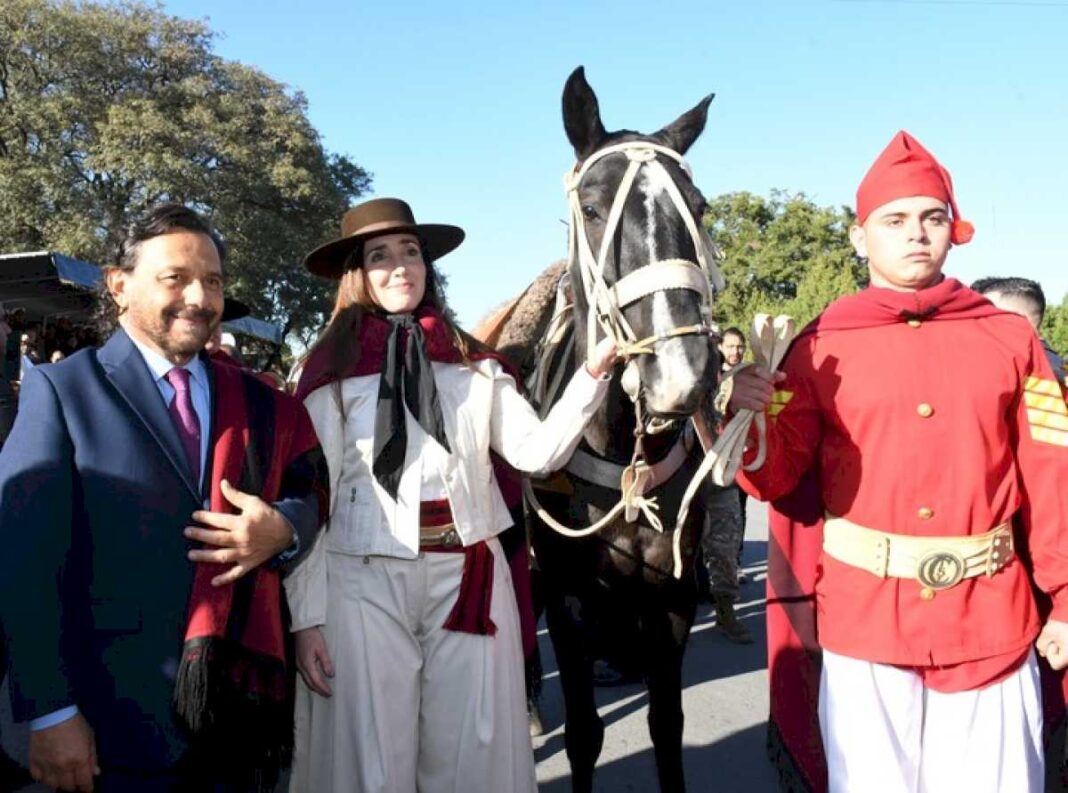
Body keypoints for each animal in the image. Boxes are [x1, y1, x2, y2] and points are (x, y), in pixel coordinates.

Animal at [523, 69, 717, 793]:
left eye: (699, 207)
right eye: (594, 207)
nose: (683, 372)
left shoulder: (674, 600)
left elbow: (667, 726)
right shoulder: (567, 603)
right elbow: (584, 734)